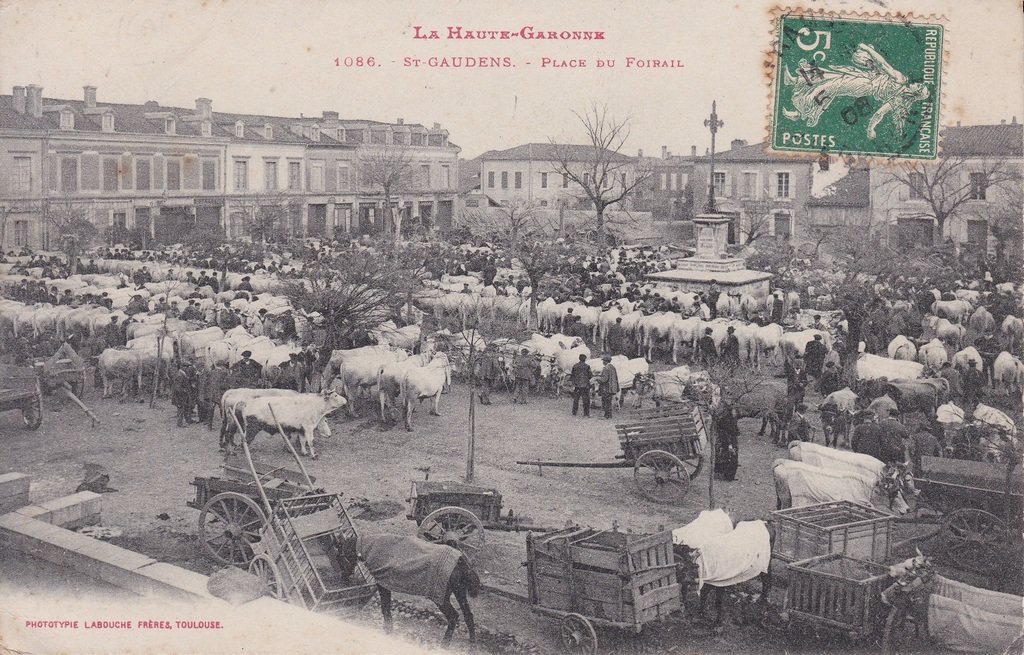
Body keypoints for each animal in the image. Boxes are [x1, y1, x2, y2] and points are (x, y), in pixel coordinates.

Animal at [331, 536, 483, 646]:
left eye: (339, 556)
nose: (343, 578)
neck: (370, 547)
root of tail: (461, 560)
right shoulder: (386, 584)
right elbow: (386, 608)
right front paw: (389, 629)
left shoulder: (383, 584)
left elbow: (385, 608)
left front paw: (388, 630)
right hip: (459, 591)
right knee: (468, 615)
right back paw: (472, 643)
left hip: (441, 597)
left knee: (453, 616)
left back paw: (444, 644)